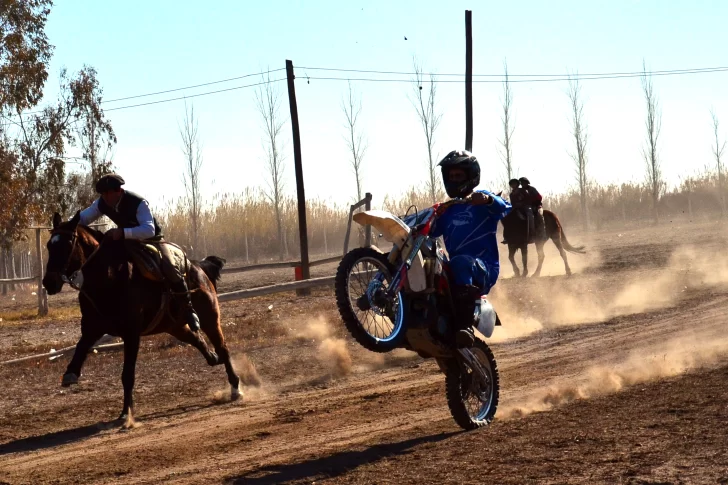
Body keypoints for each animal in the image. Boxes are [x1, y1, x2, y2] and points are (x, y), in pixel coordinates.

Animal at [42, 212, 242, 428]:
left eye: (68, 243)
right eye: (49, 245)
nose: (49, 282)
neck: (109, 278)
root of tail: (198, 267)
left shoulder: (131, 335)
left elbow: (127, 374)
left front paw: (126, 414)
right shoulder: (92, 327)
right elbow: (81, 346)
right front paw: (70, 373)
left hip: (209, 317)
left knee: (223, 347)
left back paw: (235, 387)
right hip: (174, 326)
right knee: (197, 339)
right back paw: (213, 358)